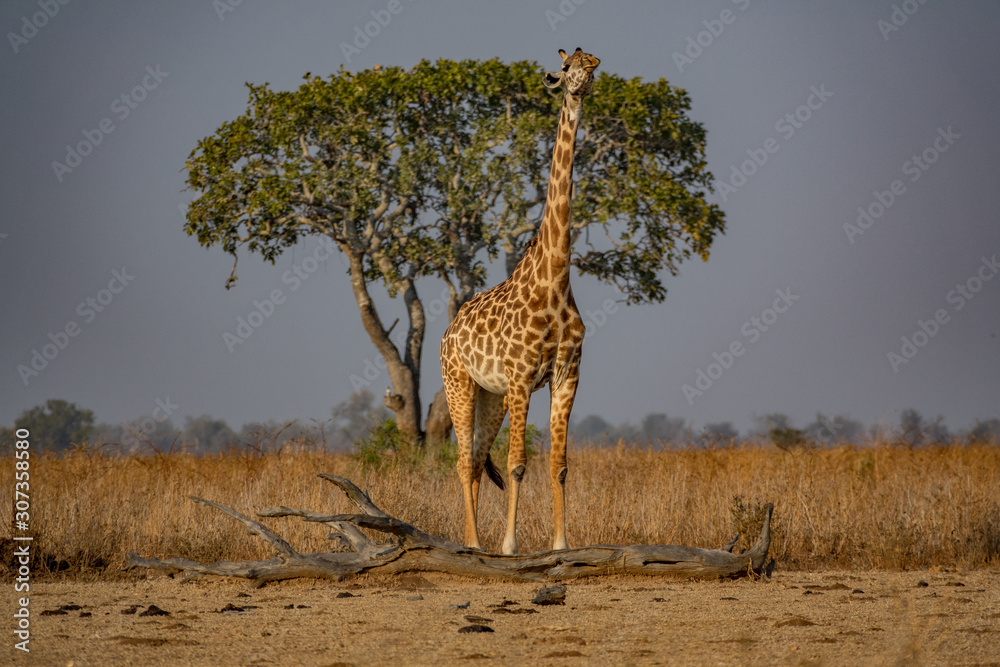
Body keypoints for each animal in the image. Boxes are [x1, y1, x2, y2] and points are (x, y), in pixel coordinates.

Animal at [440, 47, 600, 555]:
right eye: (566, 68)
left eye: (594, 63)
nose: (580, 80)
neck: (555, 282)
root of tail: (448, 333)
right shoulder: (522, 376)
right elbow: (516, 464)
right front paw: (509, 546)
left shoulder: (566, 375)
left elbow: (559, 465)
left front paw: (561, 544)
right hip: (459, 383)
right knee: (463, 460)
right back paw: (474, 545)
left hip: (492, 396)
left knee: (474, 459)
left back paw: (472, 541)